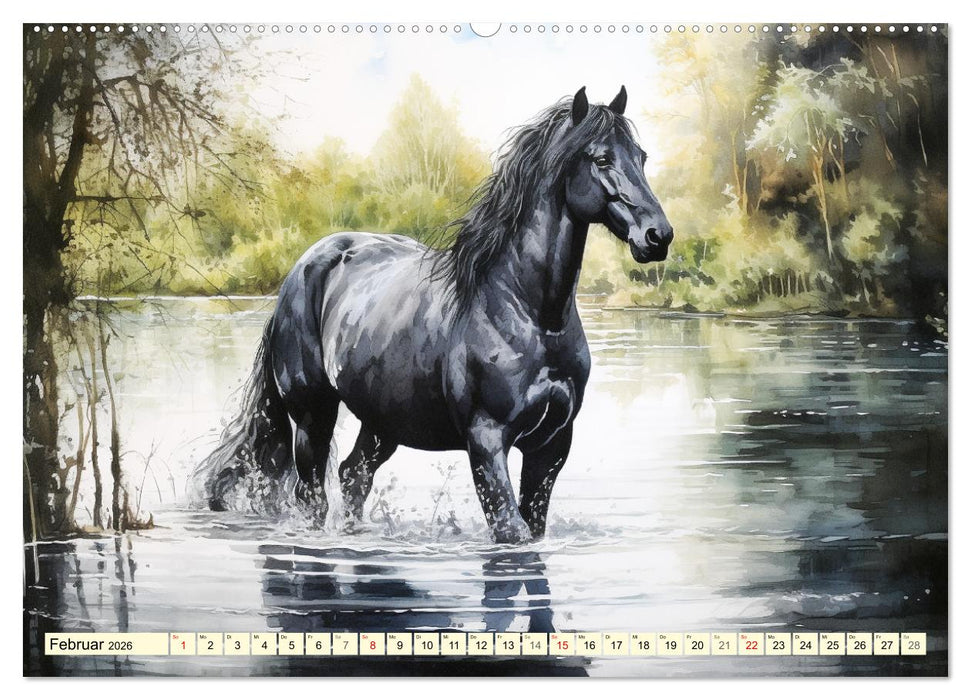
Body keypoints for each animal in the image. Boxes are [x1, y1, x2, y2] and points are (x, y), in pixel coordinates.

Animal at [199, 86, 673, 544]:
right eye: (601, 158)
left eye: (642, 156)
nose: (658, 236)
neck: (532, 315)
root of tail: (305, 267)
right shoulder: (487, 441)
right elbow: (511, 532)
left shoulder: (551, 446)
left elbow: (532, 528)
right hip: (312, 418)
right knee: (312, 496)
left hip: (382, 422)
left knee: (353, 477)